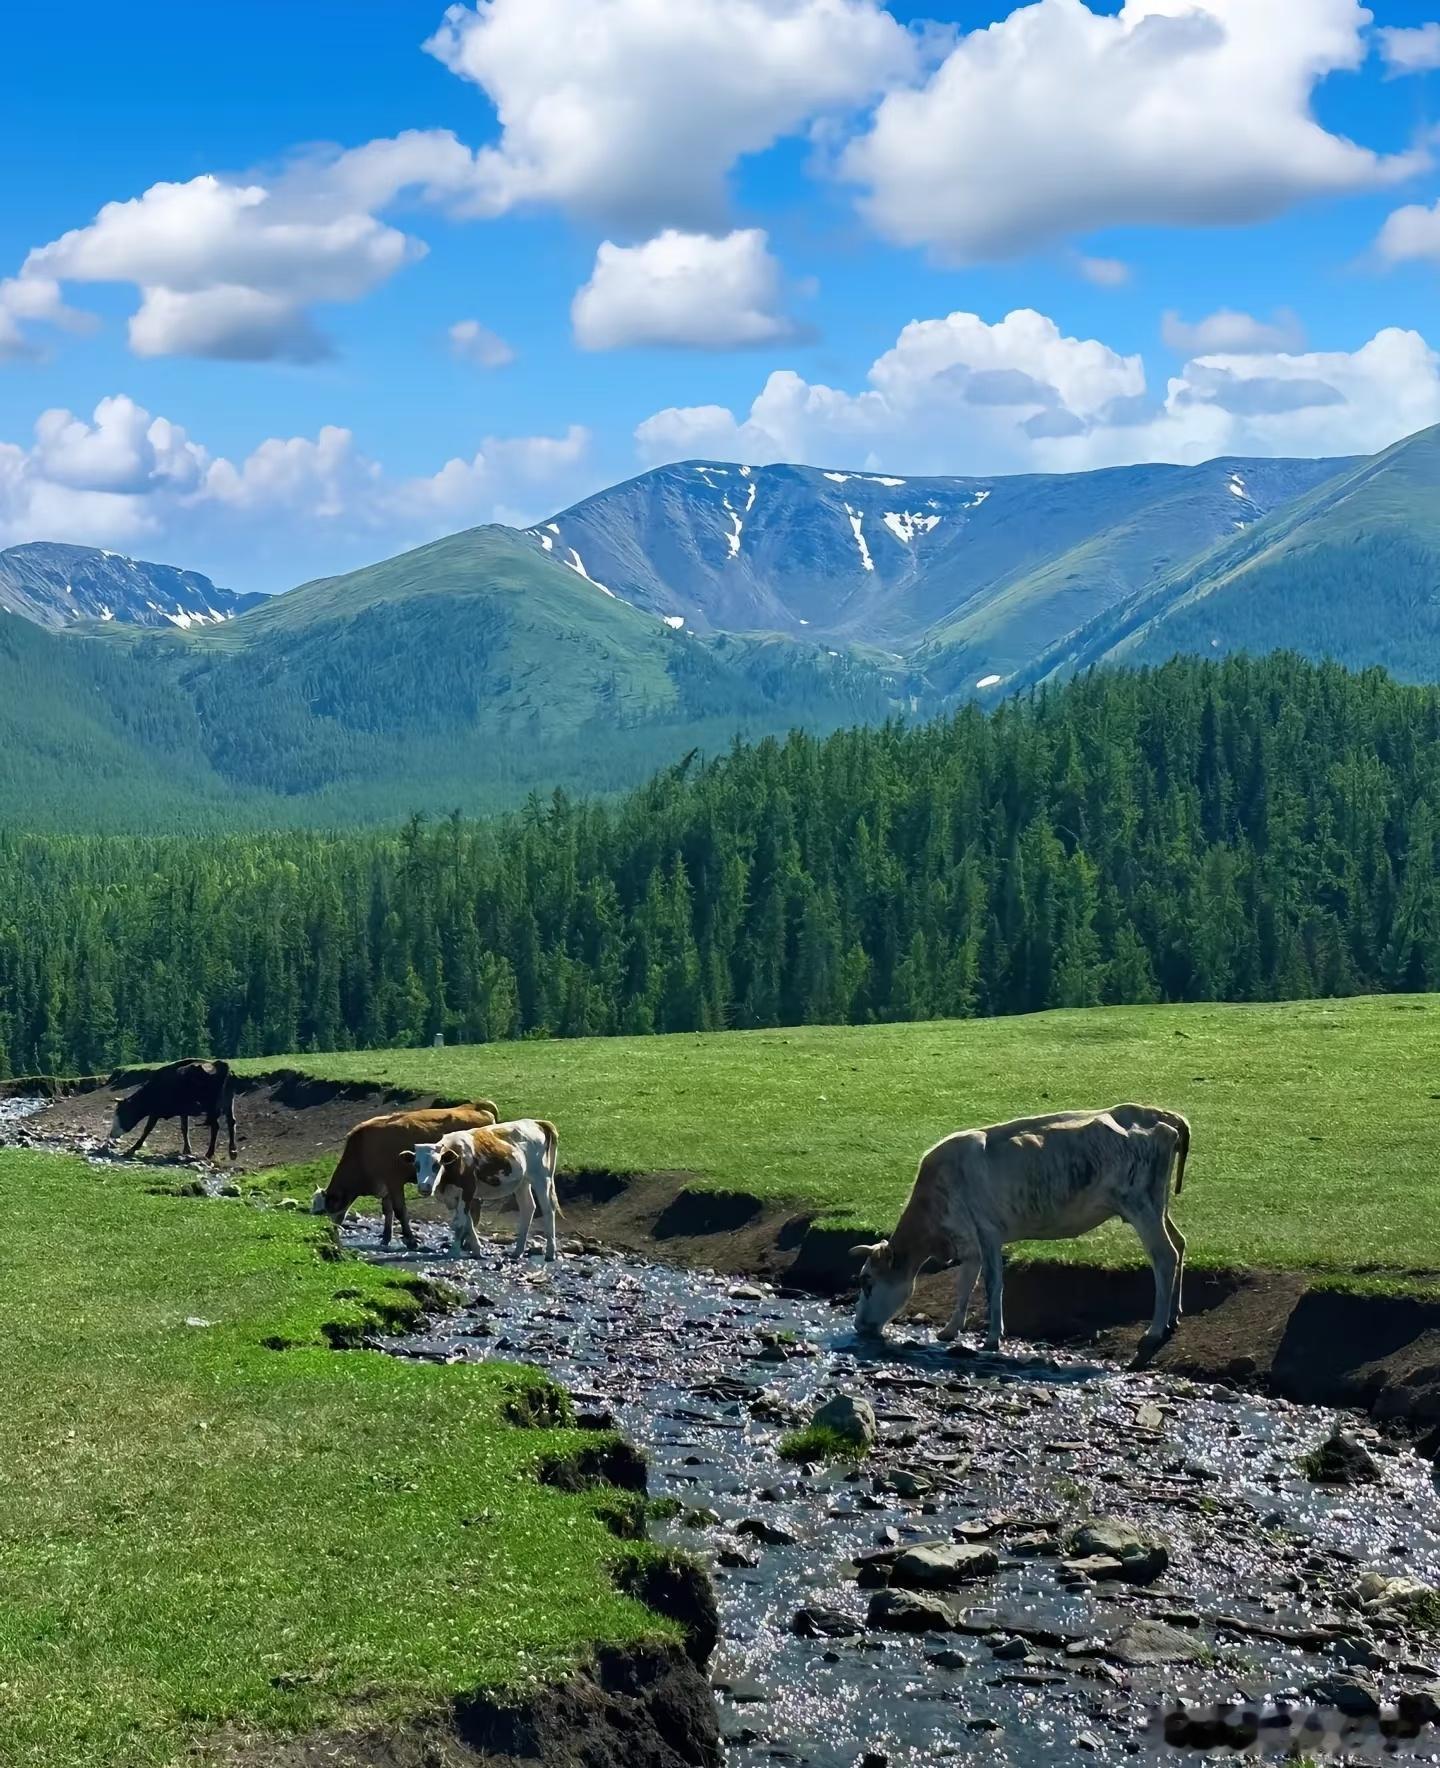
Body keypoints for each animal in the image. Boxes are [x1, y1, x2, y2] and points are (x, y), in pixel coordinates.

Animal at [107, 1053, 238, 1166]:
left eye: (122, 1113)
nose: (112, 1134)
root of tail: (220, 1065)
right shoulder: (183, 1111)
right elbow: (184, 1128)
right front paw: (186, 1150)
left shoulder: (155, 1112)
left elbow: (147, 1129)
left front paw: (132, 1149)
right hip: (228, 1102)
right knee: (231, 1121)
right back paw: (232, 1152)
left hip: (211, 1106)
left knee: (215, 1126)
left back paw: (209, 1153)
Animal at [309, 1096, 502, 1251]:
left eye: (325, 1209)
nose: (332, 1232)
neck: (363, 1151)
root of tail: (475, 1105)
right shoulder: (386, 1185)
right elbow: (387, 1211)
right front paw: (386, 1238)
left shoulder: (394, 1180)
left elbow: (400, 1210)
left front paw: (410, 1240)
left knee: (474, 1205)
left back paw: (467, 1241)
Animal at [412, 1117, 562, 1258]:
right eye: (416, 1165)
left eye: (436, 1165)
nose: (424, 1187)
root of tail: (535, 1122)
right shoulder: (453, 1196)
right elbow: (468, 1222)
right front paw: (477, 1250)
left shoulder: (467, 1190)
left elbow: (460, 1223)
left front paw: (453, 1251)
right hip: (522, 1182)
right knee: (528, 1208)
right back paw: (518, 1251)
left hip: (541, 1178)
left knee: (548, 1209)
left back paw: (550, 1252)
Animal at [856, 1103, 1195, 1350]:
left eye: (868, 1282)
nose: (858, 1326)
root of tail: (1157, 1113)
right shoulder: (969, 1244)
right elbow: (965, 1284)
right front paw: (950, 1330)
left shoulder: (988, 1231)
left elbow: (993, 1284)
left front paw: (993, 1338)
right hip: (1157, 1204)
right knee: (1179, 1243)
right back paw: (1173, 1317)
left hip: (1141, 1205)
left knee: (1165, 1256)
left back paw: (1154, 1330)